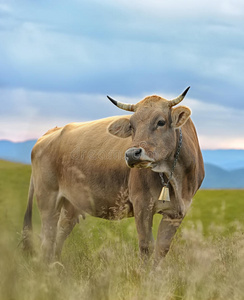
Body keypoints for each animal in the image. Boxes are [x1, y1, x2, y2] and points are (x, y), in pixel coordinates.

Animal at [22, 86, 204, 262]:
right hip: (48, 198)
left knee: (60, 235)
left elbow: (161, 249)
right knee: (47, 239)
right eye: (131, 126)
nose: (132, 154)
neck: (174, 176)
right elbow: (146, 246)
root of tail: (49, 133)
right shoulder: (142, 204)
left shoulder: (177, 212)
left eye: (161, 122)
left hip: (71, 204)